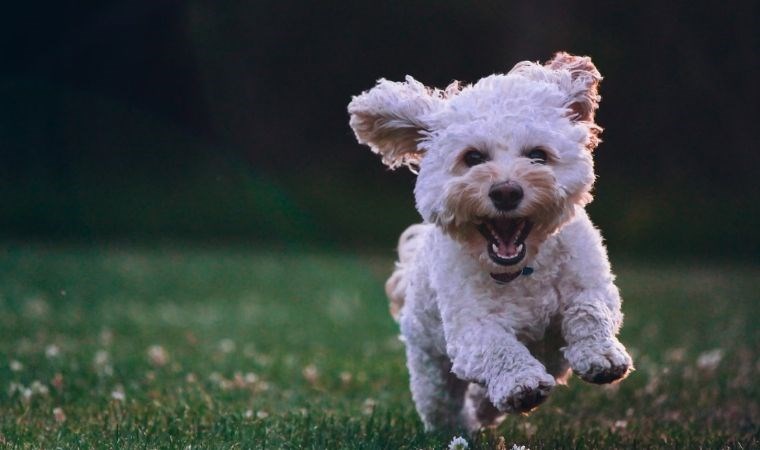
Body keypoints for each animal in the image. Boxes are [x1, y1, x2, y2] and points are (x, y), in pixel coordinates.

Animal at [348, 51, 632, 430]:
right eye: (473, 157)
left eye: (538, 155)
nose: (506, 192)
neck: (523, 270)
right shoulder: (471, 329)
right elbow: (497, 347)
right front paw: (521, 383)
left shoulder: (591, 283)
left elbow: (590, 310)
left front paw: (601, 355)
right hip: (429, 364)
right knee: (442, 402)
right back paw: (461, 425)